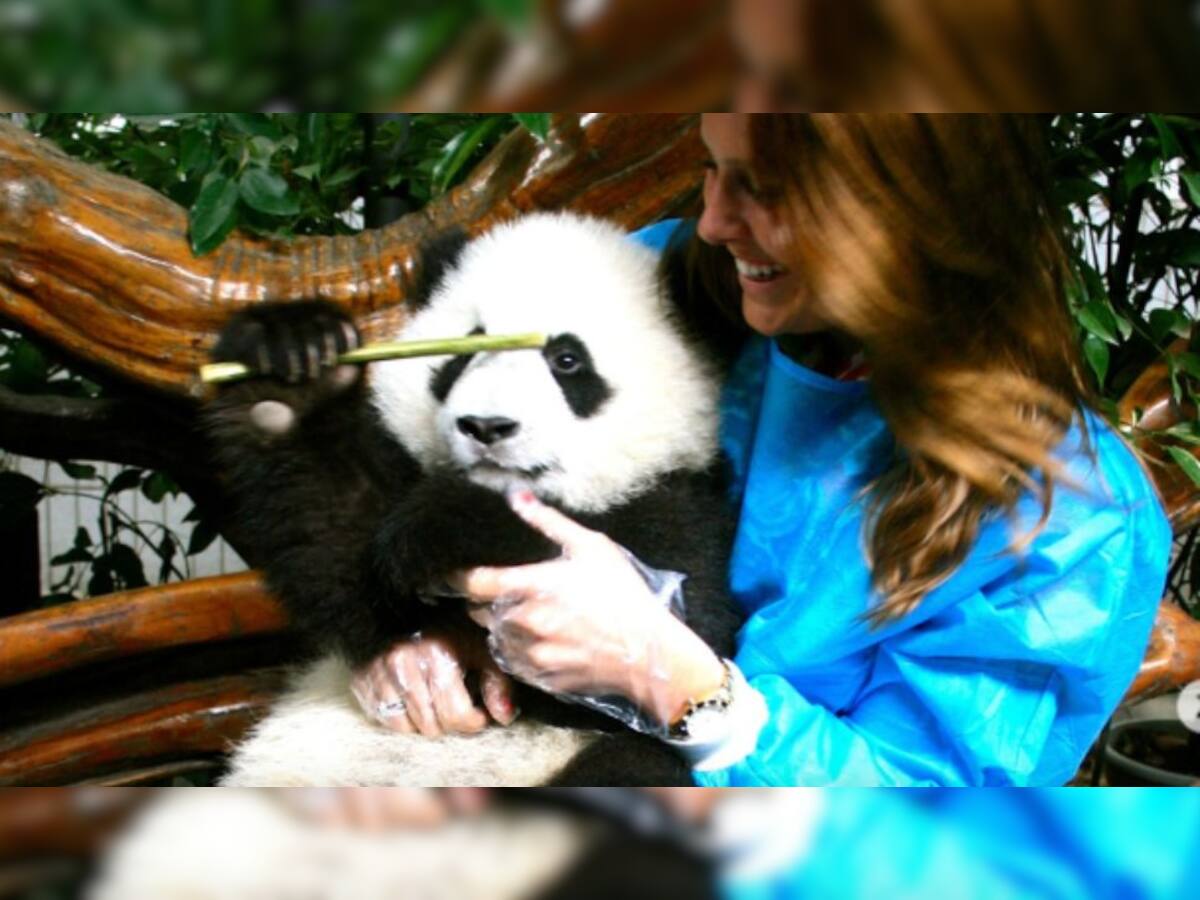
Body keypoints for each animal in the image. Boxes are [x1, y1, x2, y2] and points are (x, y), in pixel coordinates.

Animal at [205, 212, 741, 786]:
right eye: (462, 356)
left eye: (566, 360)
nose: (487, 426)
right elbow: (347, 559)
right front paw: (290, 363)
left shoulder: (679, 504)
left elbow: (679, 628)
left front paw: (438, 524)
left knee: (630, 765)